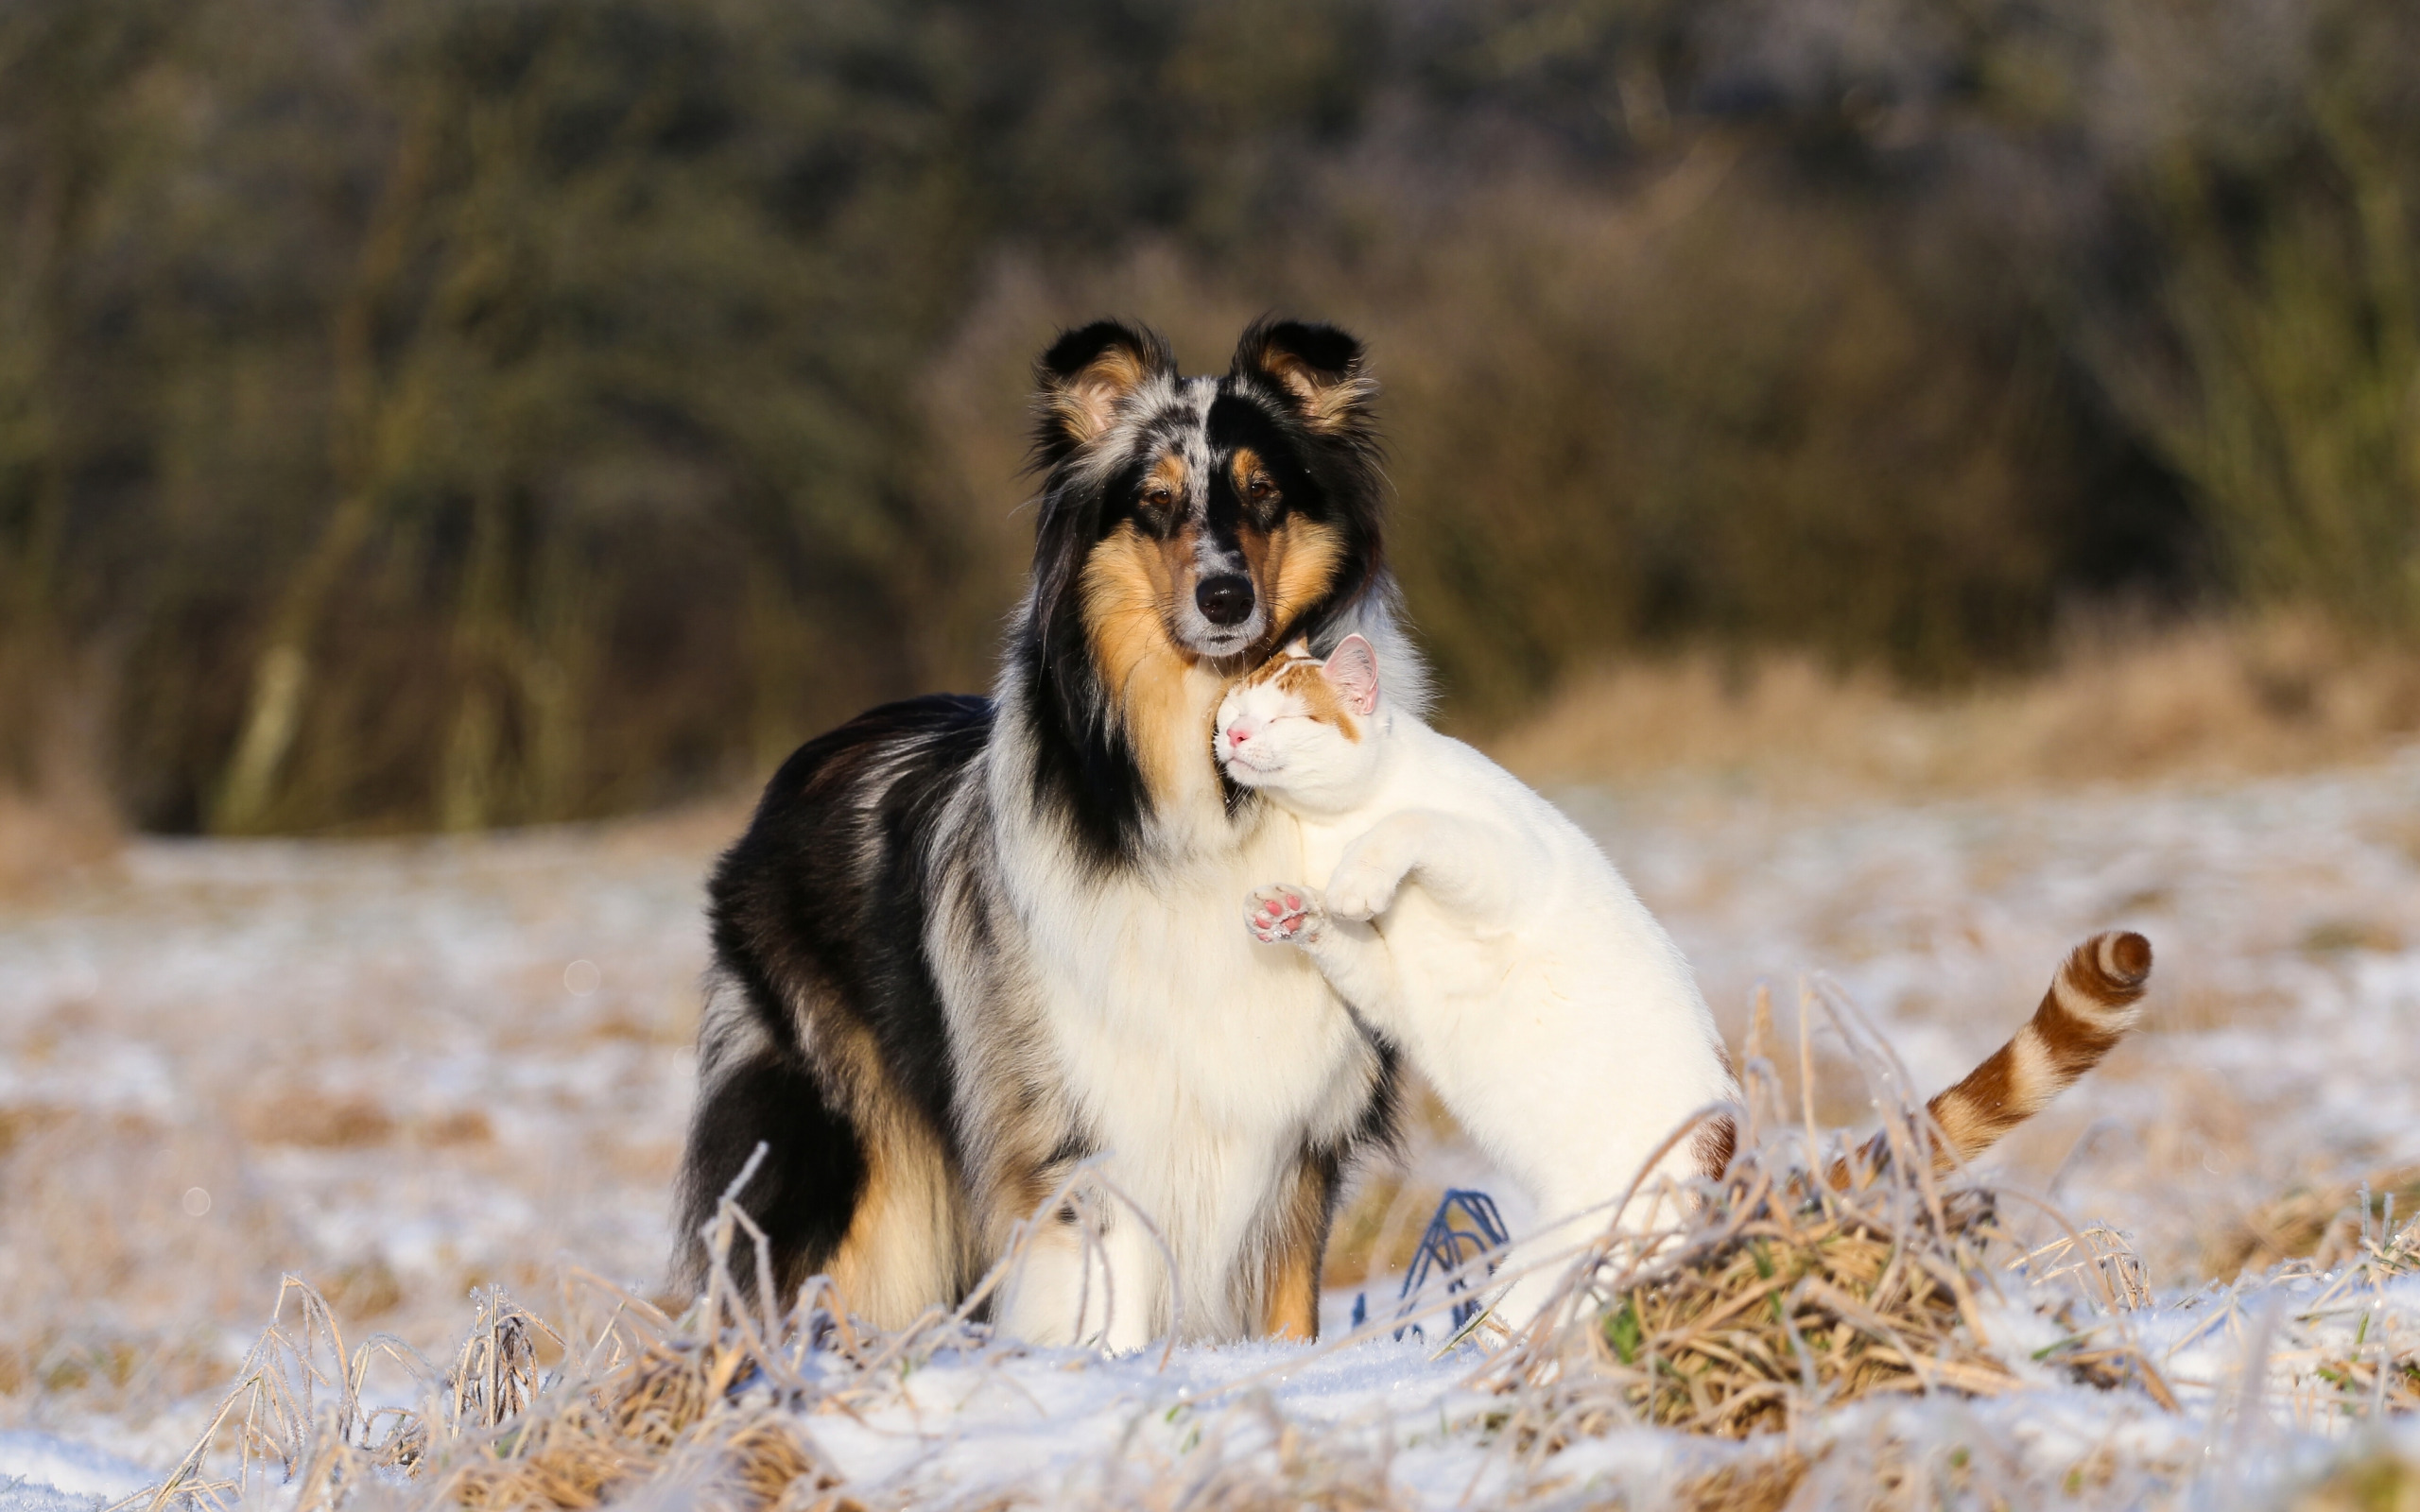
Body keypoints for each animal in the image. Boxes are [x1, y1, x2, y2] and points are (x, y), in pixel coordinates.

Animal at [667, 314, 1413, 1345]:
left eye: (1264, 492)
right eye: (1154, 503)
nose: (1226, 599)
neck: (1207, 781)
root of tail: (802, 760)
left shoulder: (1295, 1137)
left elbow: (1290, 1309)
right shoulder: (1089, 1132)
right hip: (861, 1174)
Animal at [1219, 628, 1732, 1315]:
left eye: (1283, 717)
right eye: (1232, 707)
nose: (1234, 734)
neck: (1336, 826)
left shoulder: (1505, 866)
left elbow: (1414, 824)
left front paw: (1358, 879)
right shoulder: (1393, 990)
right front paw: (1290, 910)